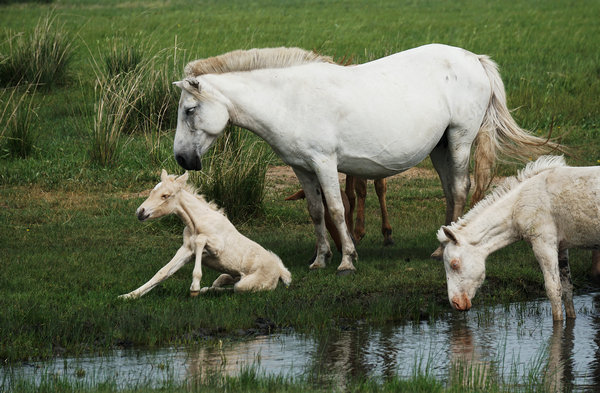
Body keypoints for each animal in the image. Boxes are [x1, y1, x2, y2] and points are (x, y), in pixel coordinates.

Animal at [119, 169, 290, 298]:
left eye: (165, 195)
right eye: (152, 191)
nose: (140, 212)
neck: (196, 223)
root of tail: (280, 272)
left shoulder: (216, 247)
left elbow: (200, 241)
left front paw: (194, 287)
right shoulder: (185, 250)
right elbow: (162, 272)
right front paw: (128, 296)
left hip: (246, 285)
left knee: (235, 289)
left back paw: (203, 290)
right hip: (228, 277)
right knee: (220, 282)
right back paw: (210, 287)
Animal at [172, 44, 556, 274]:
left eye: (189, 111)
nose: (182, 158)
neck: (290, 99)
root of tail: (473, 58)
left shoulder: (324, 163)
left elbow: (337, 209)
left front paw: (347, 259)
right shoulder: (302, 169)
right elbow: (316, 212)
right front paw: (320, 259)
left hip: (460, 139)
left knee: (460, 189)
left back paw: (442, 250)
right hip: (441, 147)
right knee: (450, 191)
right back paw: (441, 245)